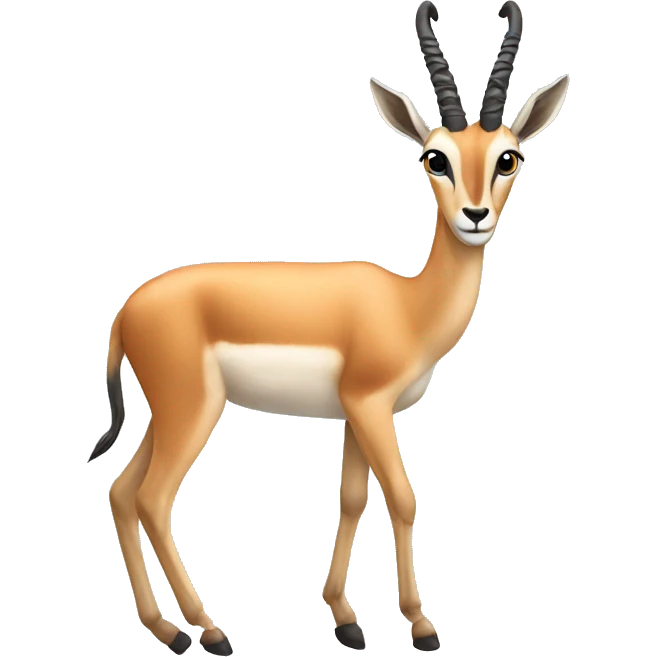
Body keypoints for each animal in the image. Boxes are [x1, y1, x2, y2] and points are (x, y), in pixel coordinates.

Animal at [91, 1, 568, 653]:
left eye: (508, 156)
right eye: (435, 157)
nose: (475, 216)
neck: (407, 306)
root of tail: (124, 310)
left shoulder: (359, 413)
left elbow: (350, 501)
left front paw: (346, 621)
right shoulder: (369, 404)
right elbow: (403, 497)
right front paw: (421, 626)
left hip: (166, 414)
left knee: (120, 492)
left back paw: (167, 629)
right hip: (192, 411)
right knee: (152, 497)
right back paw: (209, 631)